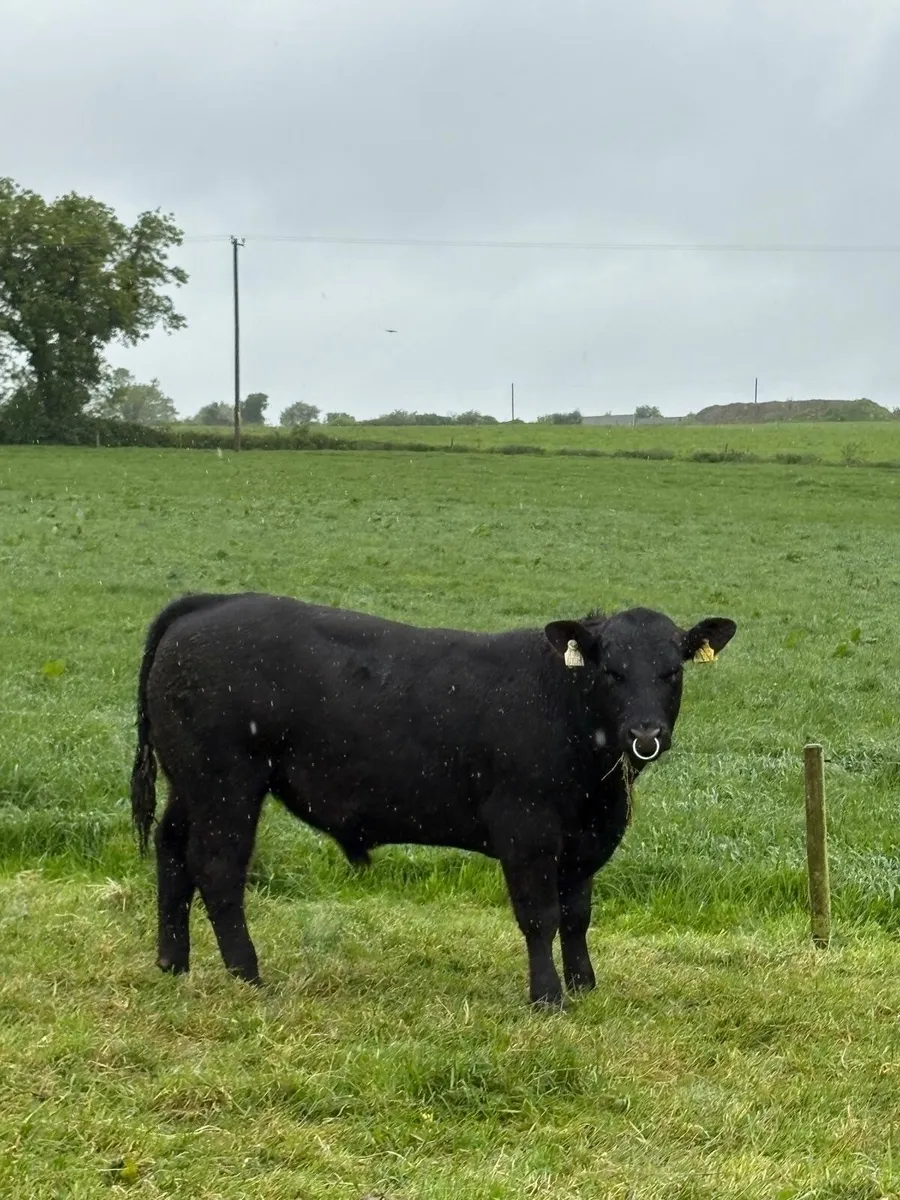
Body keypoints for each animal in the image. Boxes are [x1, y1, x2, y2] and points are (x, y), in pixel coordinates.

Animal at [130, 592, 736, 1008]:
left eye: (672, 671)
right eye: (611, 670)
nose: (645, 733)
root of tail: (209, 603)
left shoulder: (585, 838)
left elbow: (576, 915)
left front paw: (584, 985)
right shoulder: (527, 829)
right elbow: (540, 916)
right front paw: (547, 997)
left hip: (190, 786)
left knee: (172, 853)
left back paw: (172, 963)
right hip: (226, 784)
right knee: (217, 869)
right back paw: (248, 975)